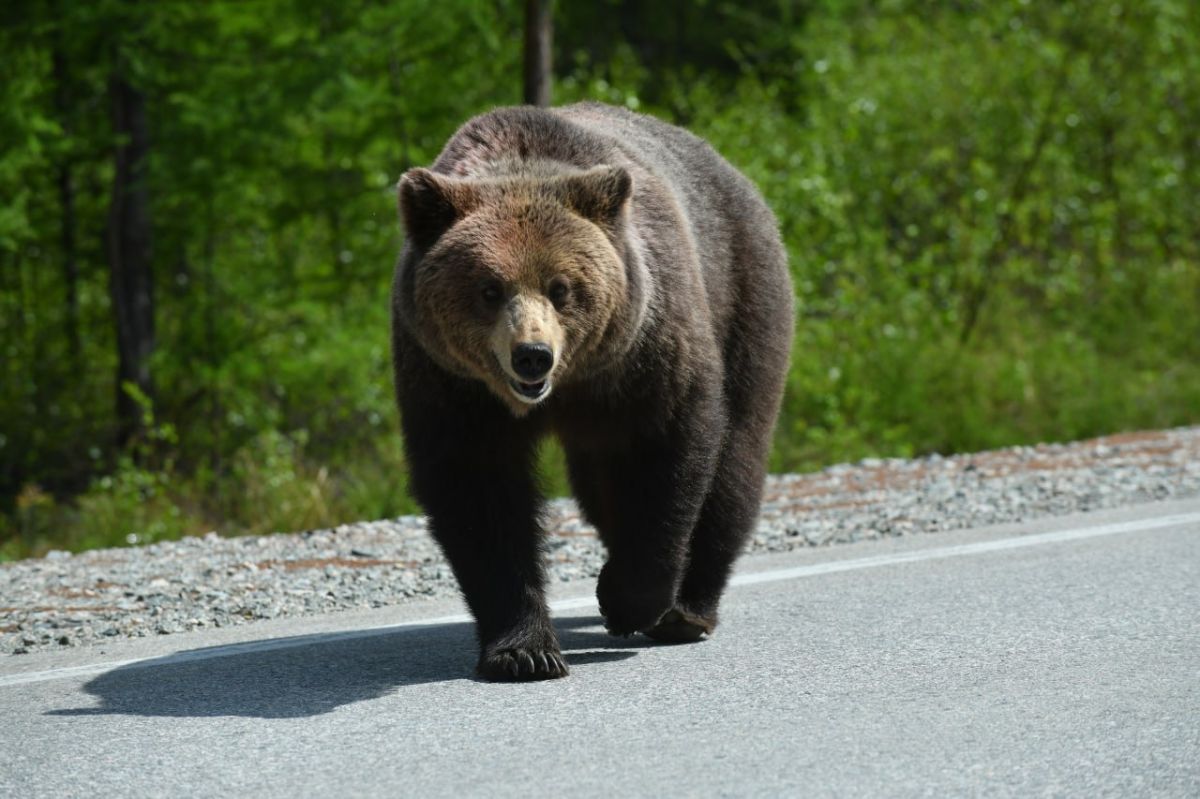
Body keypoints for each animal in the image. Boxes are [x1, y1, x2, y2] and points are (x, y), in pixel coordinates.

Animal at [391, 102, 793, 681]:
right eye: (489, 289)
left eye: (561, 288)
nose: (532, 354)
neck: (568, 384)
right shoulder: (451, 383)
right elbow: (478, 493)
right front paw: (525, 651)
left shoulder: (644, 354)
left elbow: (667, 456)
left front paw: (626, 600)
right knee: (599, 487)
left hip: (744, 293)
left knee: (735, 457)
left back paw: (687, 611)